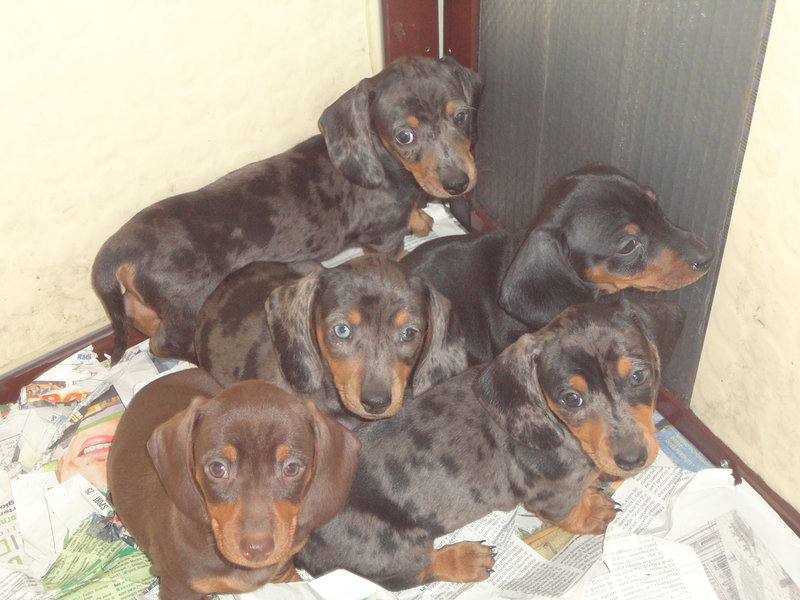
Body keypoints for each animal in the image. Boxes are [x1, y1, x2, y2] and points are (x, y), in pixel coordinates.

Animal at [94, 56, 482, 364]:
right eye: (404, 136)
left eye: (461, 116)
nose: (458, 184)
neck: (384, 162)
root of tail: (119, 248)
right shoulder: (382, 238)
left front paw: (420, 217)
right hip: (189, 303)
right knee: (162, 341)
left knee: (134, 309)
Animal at [296, 298, 684, 588]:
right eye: (571, 399)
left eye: (639, 376)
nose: (633, 460)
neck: (559, 428)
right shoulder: (548, 494)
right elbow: (567, 512)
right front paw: (591, 512)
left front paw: (594, 488)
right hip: (388, 548)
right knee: (413, 572)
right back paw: (463, 559)